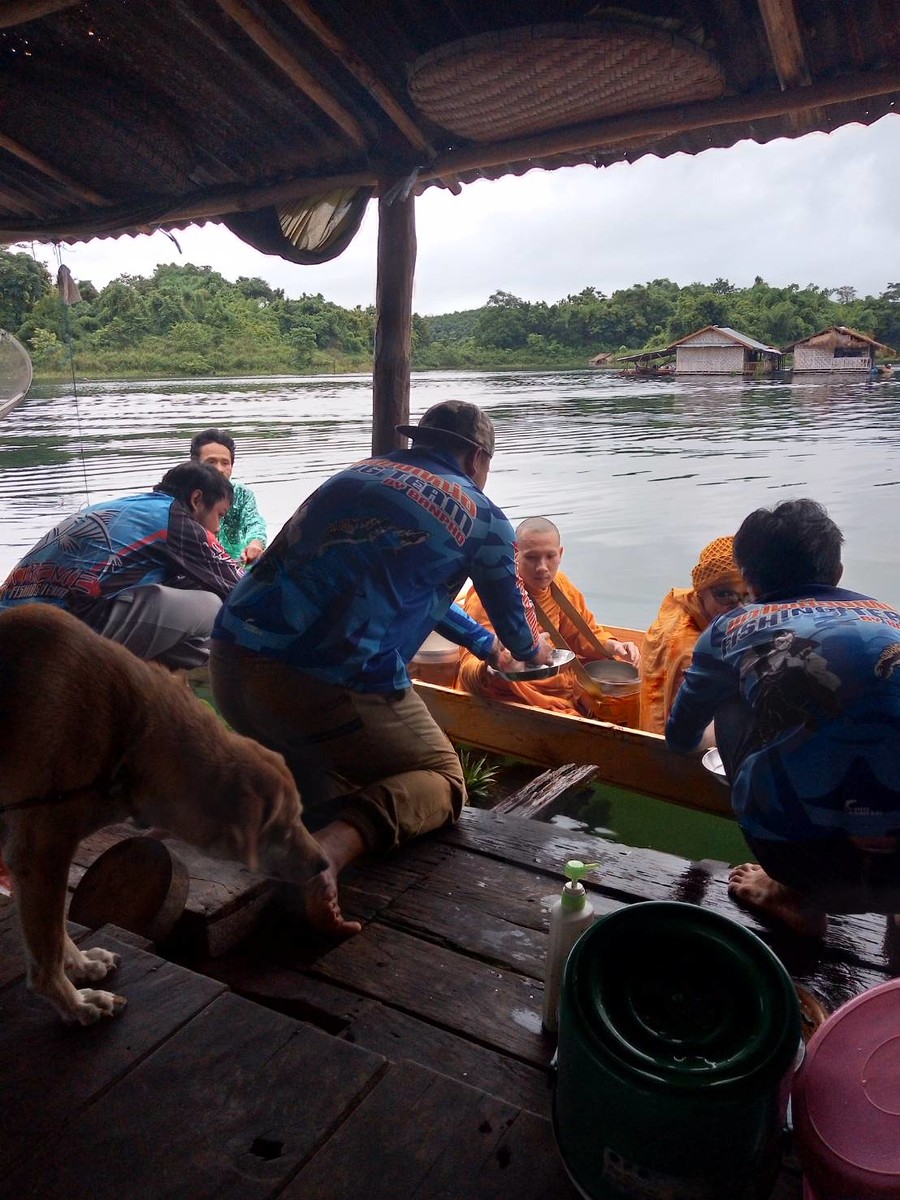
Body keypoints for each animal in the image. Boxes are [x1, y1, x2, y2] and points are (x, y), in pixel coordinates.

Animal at [0, 604, 331, 1027]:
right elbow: (46, 950)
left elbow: (57, 931)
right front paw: (74, 1004)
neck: (132, 732)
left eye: (300, 815)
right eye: (283, 827)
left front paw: (83, 966)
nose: (324, 864)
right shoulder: (39, 852)